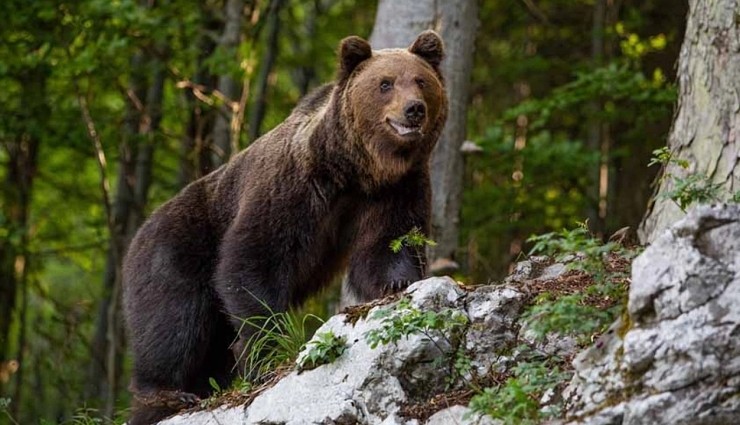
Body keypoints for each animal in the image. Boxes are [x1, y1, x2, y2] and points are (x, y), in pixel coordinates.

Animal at [123, 30, 446, 424]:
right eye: (385, 83)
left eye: (421, 81)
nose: (414, 109)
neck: (356, 169)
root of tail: (138, 234)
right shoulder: (294, 186)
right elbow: (253, 260)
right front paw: (270, 344)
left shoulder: (394, 190)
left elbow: (389, 242)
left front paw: (397, 282)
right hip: (177, 248)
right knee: (173, 323)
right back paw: (167, 395)